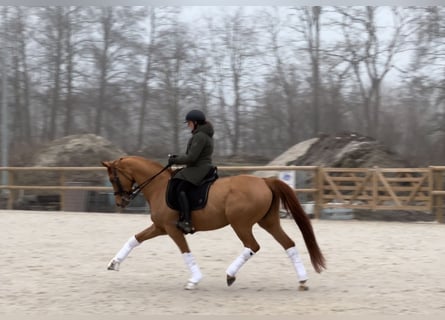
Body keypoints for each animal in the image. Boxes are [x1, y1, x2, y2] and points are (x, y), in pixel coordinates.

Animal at [102, 156, 324, 292]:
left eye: (113, 178)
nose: (120, 202)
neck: (159, 186)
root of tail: (264, 181)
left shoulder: (173, 229)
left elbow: (185, 252)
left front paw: (194, 280)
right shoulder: (160, 227)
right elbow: (135, 239)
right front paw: (114, 263)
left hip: (240, 224)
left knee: (252, 246)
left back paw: (230, 274)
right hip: (268, 223)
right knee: (289, 244)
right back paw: (302, 281)